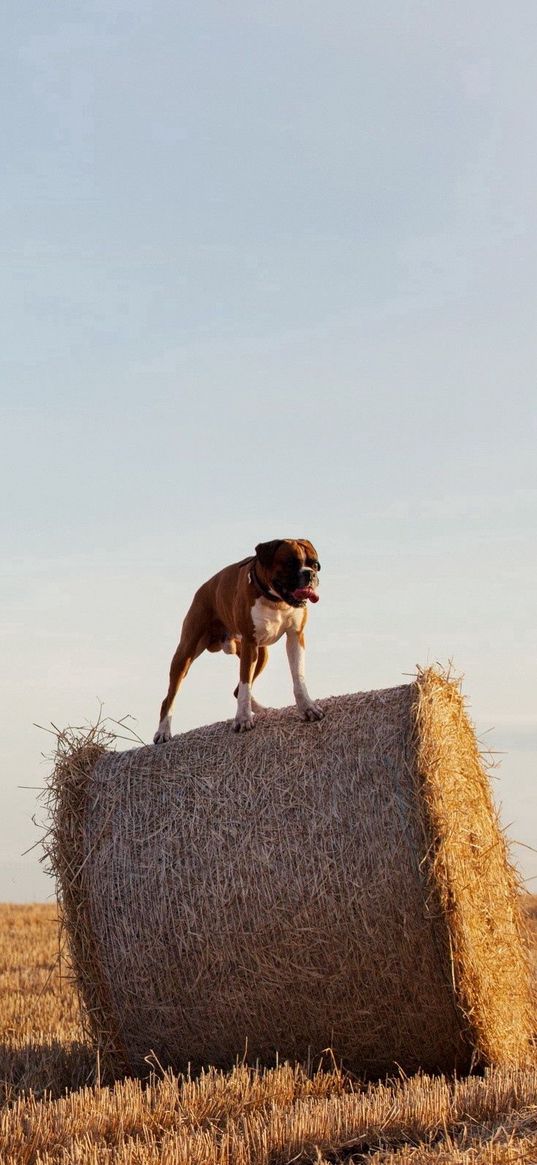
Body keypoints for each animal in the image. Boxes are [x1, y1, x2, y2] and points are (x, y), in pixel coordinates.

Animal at [152, 538, 323, 740]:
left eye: (315, 564)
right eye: (290, 563)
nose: (310, 574)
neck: (275, 600)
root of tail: (204, 587)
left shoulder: (295, 637)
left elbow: (298, 677)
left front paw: (307, 708)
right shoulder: (249, 643)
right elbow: (245, 684)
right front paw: (242, 719)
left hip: (260, 655)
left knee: (237, 690)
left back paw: (264, 710)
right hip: (185, 653)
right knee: (169, 698)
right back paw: (163, 731)